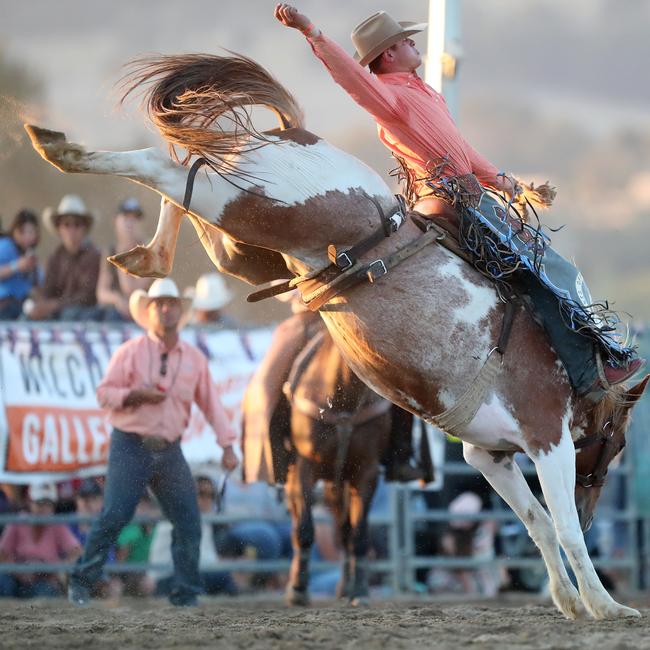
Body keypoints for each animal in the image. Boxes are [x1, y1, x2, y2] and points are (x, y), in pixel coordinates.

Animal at [22, 52, 644, 616]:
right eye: (618, 442)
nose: (596, 508)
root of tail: (294, 133)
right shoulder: (546, 436)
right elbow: (563, 527)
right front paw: (606, 605)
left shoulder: (486, 454)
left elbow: (538, 523)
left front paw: (570, 602)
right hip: (258, 203)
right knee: (165, 163)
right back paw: (60, 148)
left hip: (245, 241)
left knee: (186, 175)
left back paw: (144, 253)